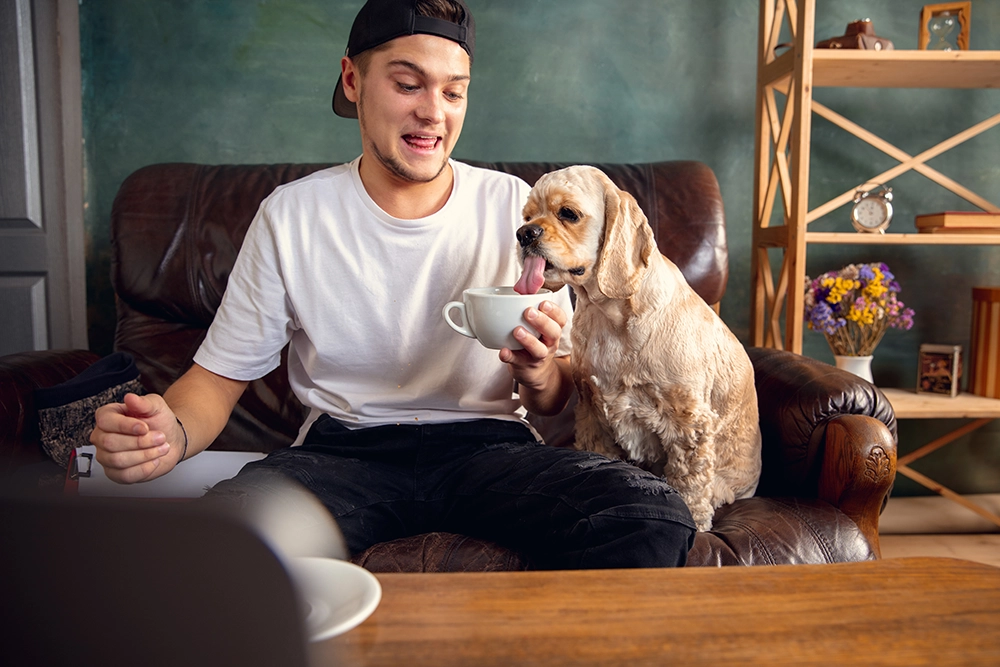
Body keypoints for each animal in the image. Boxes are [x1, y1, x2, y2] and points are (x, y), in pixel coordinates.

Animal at [516, 164, 756, 528]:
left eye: (568, 213)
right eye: (528, 216)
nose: (524, 234)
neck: (609, 316)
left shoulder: (690, 421)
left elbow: (690, 483)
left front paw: (697, 523)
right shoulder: (592, 411)